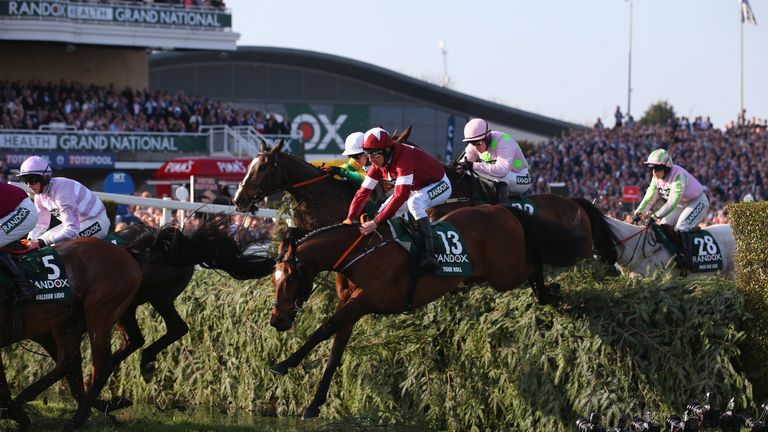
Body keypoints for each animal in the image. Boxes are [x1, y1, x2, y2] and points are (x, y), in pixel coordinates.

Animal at [0, 238, 141, 430]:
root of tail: (124, 252)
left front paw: (17, 415)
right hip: (67, 321)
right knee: (69, 361)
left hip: (101, 313)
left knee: (101, 365)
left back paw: (76, 420)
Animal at [270, 205, 588, 418]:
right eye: (273, 278)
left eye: (289, 278)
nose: (277, 320)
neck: (360, 253)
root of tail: (504, 209)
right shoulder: (348, 304)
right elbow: (335, 353)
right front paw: (314, 404)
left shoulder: (364, 301)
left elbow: (322, 330)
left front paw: (283, 365)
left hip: (505, 273)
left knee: (535, 262)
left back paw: (552, 294)